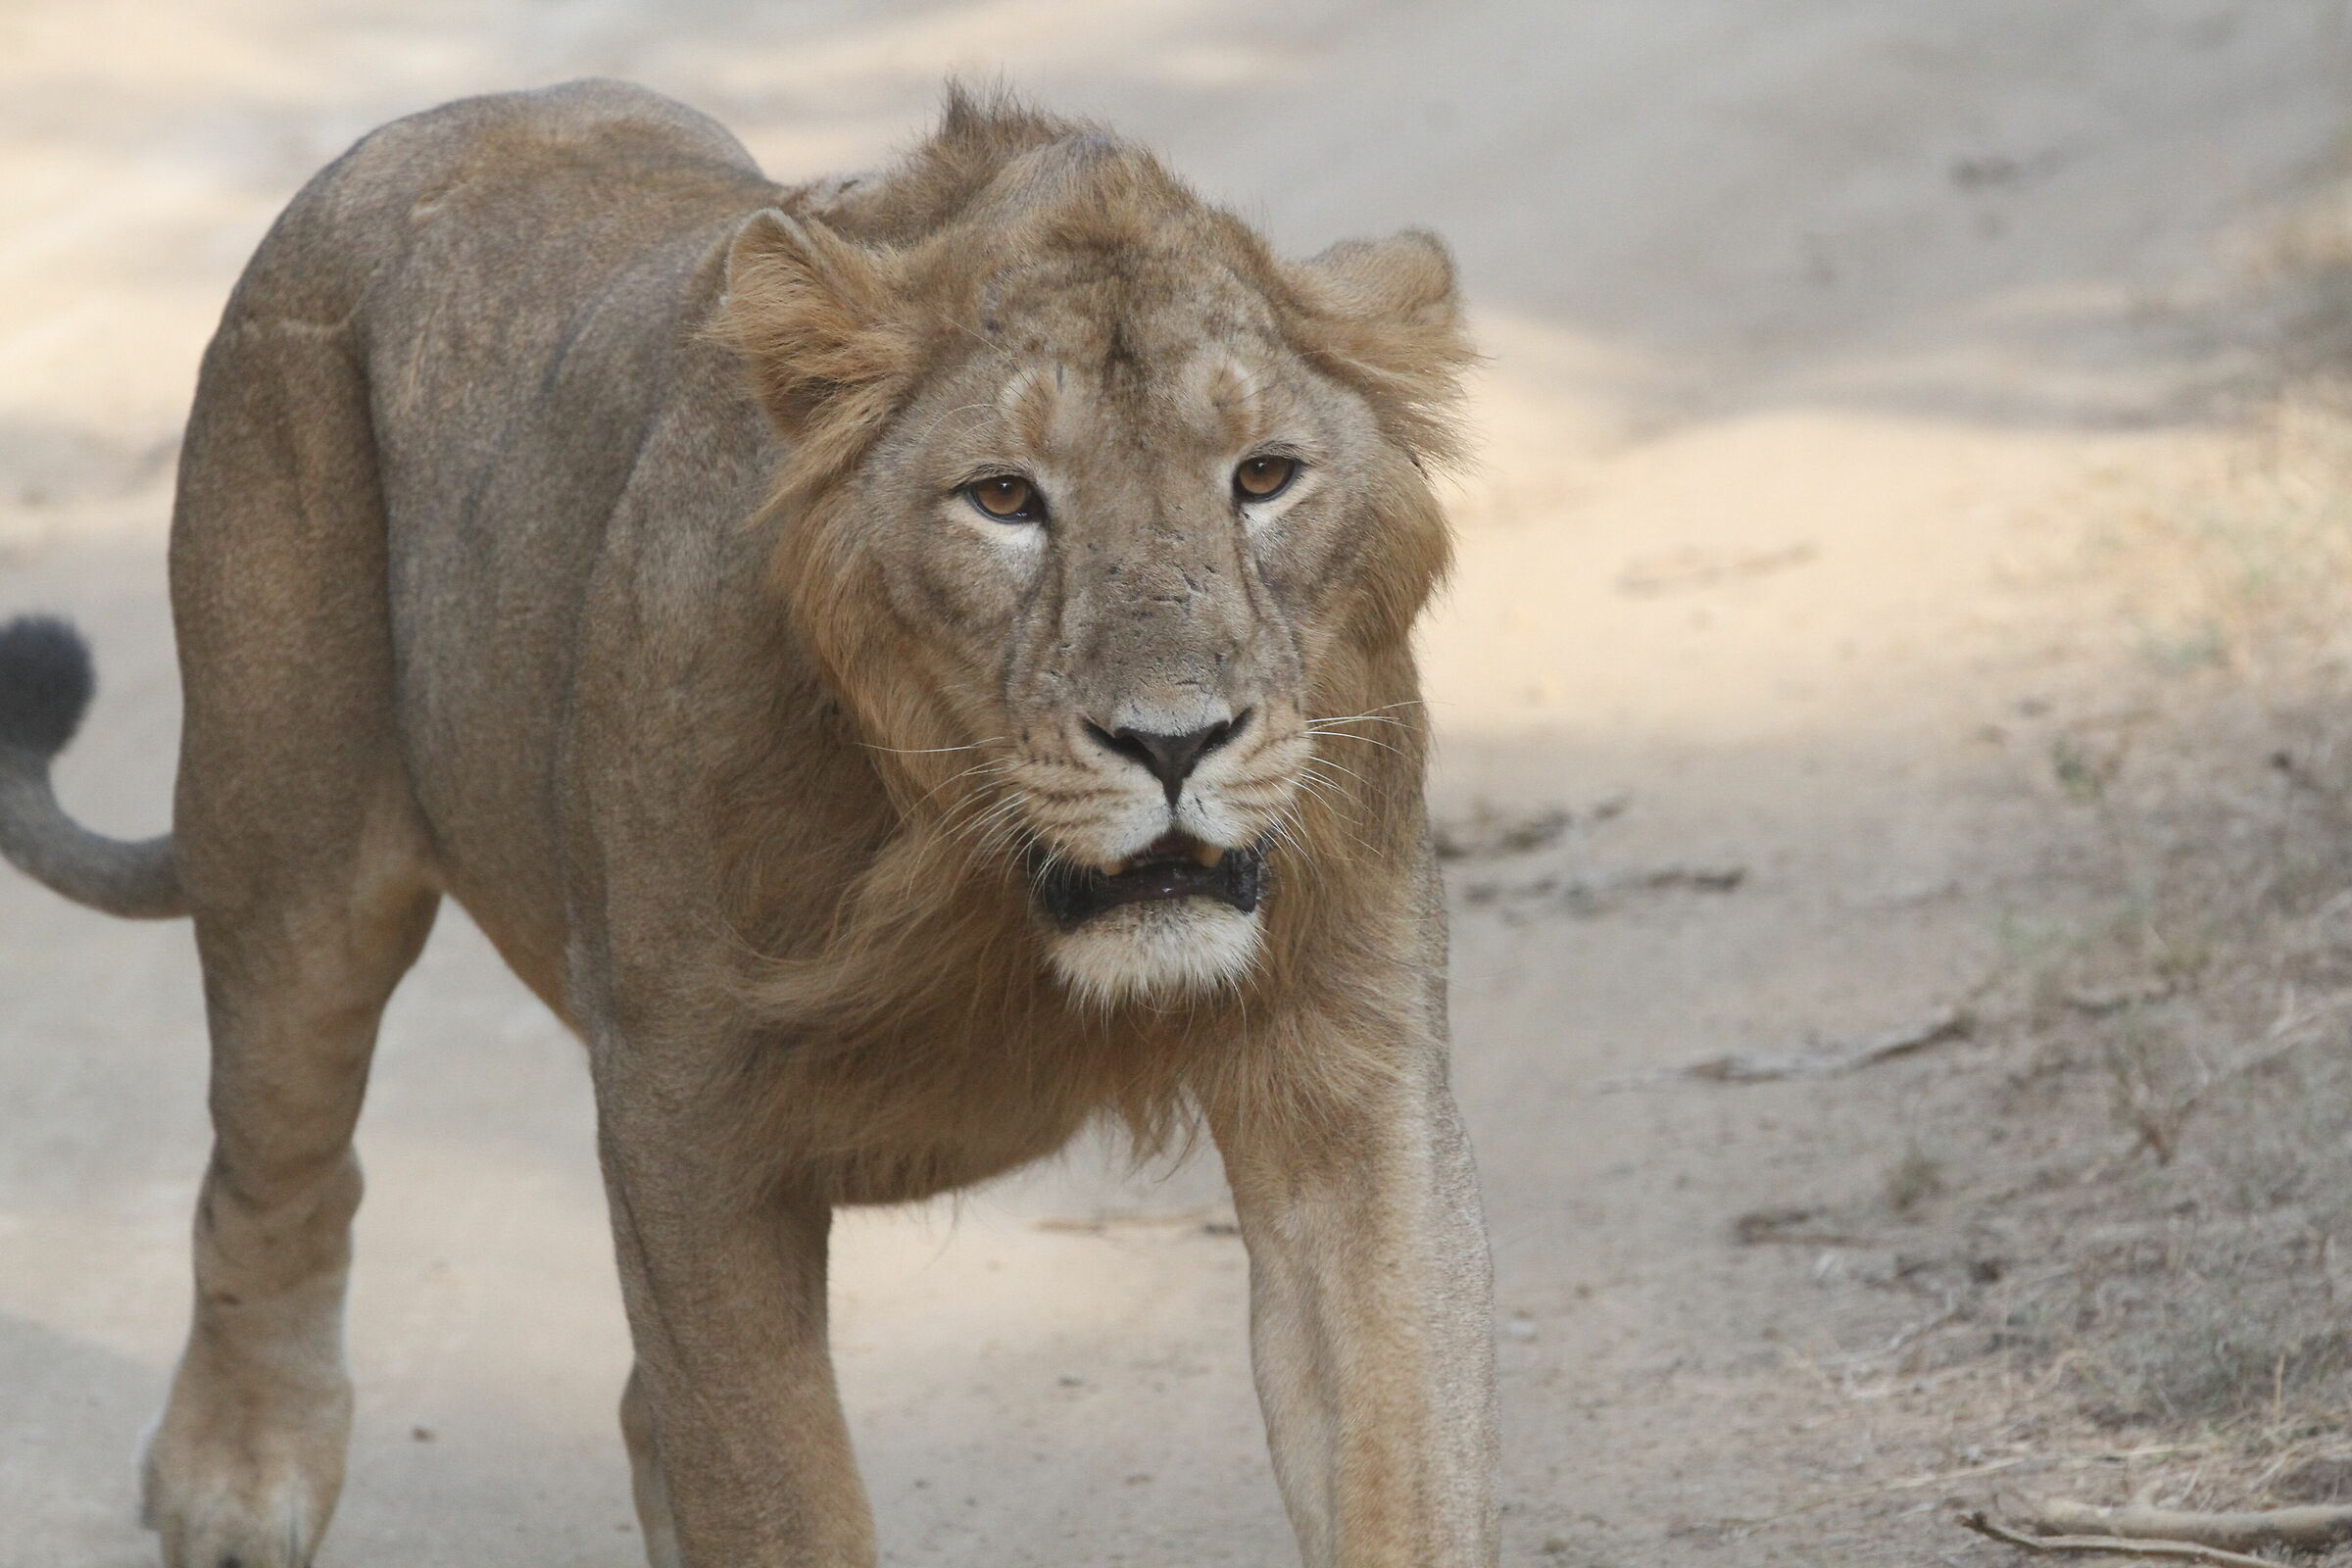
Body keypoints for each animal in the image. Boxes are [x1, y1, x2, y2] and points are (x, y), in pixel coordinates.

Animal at [0, 81, 1498, 1567]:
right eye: (1004, 497)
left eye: (1265, 477)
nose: (1175, 741)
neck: (973, 877)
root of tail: (418, 130)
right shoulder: (680, 1103)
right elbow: (775, 1488)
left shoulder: (1348, 1079)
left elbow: (1403, 1457)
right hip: (290, 876)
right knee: (275, 1173)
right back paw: (235, 1480)